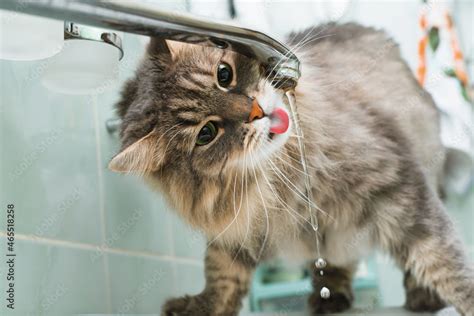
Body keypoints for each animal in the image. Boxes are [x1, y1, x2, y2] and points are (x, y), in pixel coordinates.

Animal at [109, 23, 472, 314]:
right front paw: (201, 307)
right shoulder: (235, 228)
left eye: (224, 75)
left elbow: (442, 259)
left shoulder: (397, 185)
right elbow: (220, 276)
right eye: (206, 133)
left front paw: (464, 300)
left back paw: (422, 298)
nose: (256, 111)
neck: (279, 174)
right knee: (338, 261)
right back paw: (331, 298)